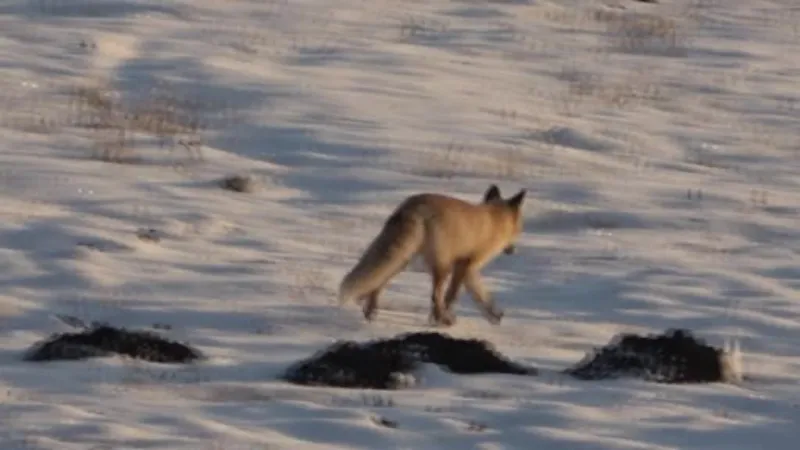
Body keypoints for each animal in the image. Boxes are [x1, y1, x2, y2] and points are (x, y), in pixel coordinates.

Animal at [336, 183, 528, 326]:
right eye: (519, 230)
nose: (513, 250)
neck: (496, 220)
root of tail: (414, 206)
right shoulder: (465, 265)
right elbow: (452, 296)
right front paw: (441, 319)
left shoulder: (467, 269)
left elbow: (481, 295)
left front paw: (494, 314)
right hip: (441, 267)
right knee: (434, 296)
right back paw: (442, 319)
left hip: (403, 258)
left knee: (379, 282)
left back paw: (370, 311)